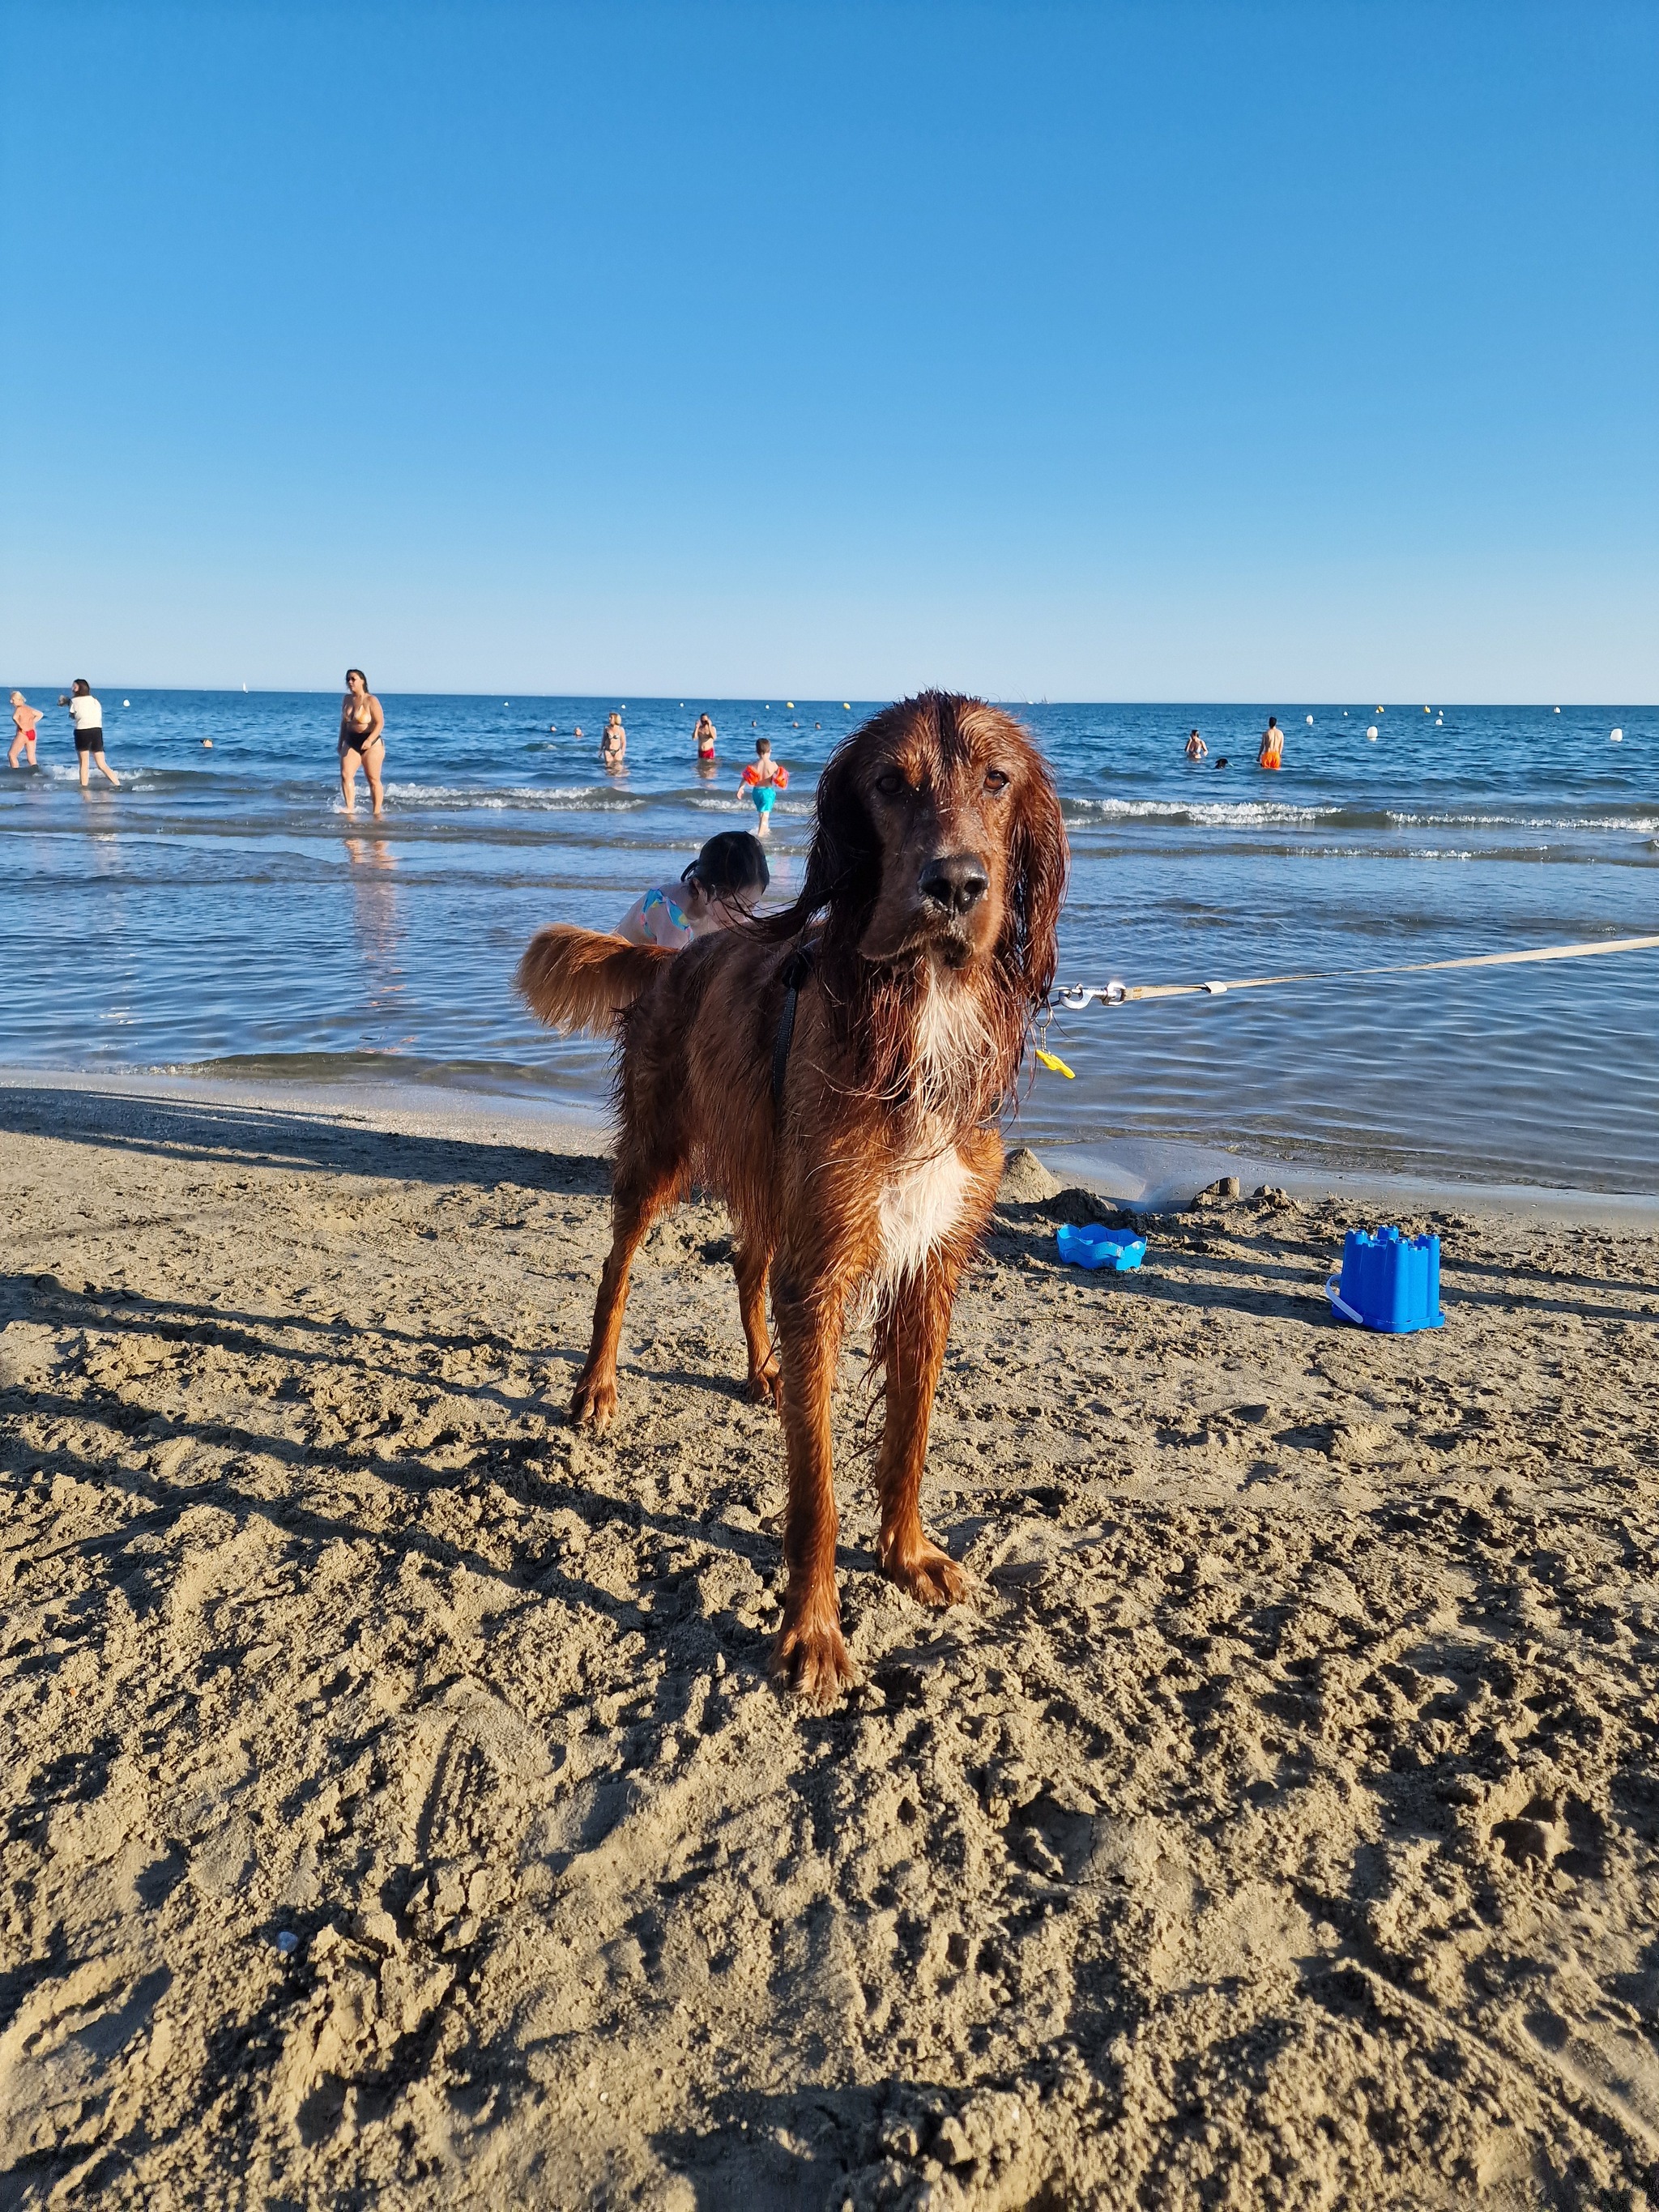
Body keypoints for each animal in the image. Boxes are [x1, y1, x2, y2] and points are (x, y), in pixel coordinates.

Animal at [513, 690, 1070, 1690]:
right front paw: (813, 1630)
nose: (956, 885)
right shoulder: (827, 1270)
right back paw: (597, 1388)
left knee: (745, 1262)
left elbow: (908, 1437)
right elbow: (816, 1489)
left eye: (997, 779)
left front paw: (908, 1555)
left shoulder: (928, 1265)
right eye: (889, 783)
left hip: (777, 1175)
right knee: (618, 1269)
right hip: (663, 1155)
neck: (920, 1019)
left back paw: (762, 1371)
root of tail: (673, 960)